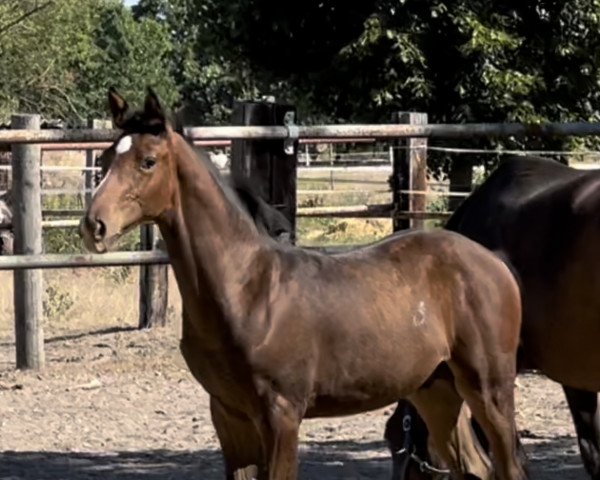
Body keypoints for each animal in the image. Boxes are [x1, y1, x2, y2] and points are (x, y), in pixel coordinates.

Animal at [79, 87, 524, 480]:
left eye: (148, 161)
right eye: (105, 158)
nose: (93, 226)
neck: (247, 290)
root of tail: (494, 262)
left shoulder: (281, 413)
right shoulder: (228, 414)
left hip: (489, 388)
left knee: (509, 469)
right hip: (437, 390)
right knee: (476, 468)